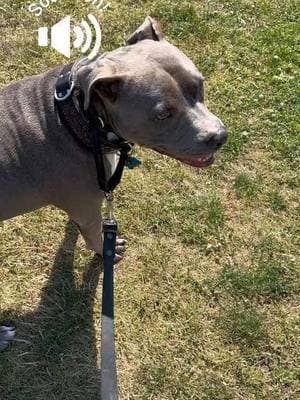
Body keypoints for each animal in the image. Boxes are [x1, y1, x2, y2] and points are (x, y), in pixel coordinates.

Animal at [0, 16, 226, 350]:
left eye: (199, 85)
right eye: (163, 114)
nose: (219, 136)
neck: (77, 118)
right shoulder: (87, 209)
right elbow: (95, 238)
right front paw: (106, 249)